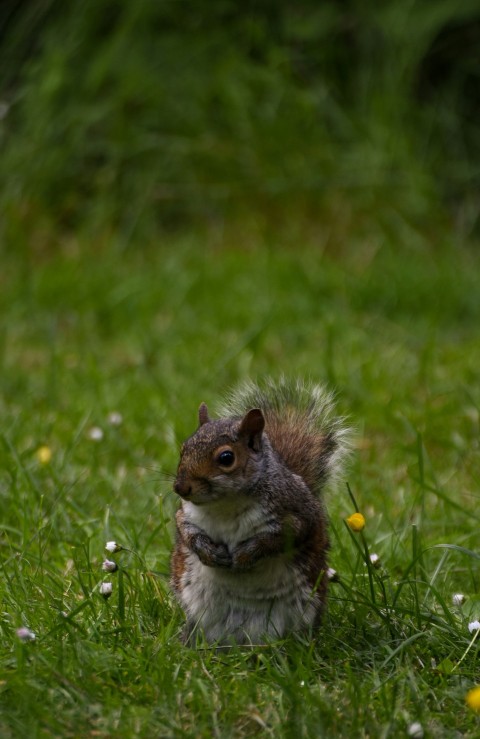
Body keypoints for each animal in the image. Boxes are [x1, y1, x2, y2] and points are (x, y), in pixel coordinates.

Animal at [171, 378, 350, 645]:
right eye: (184, 449)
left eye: (226, 457)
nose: (180, 488)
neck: (225, 505)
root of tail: (242, 642)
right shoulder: (187, 514)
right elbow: (187, 532)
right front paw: (209, 553)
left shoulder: (296, 514)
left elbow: (279, 539)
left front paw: (246, 555)